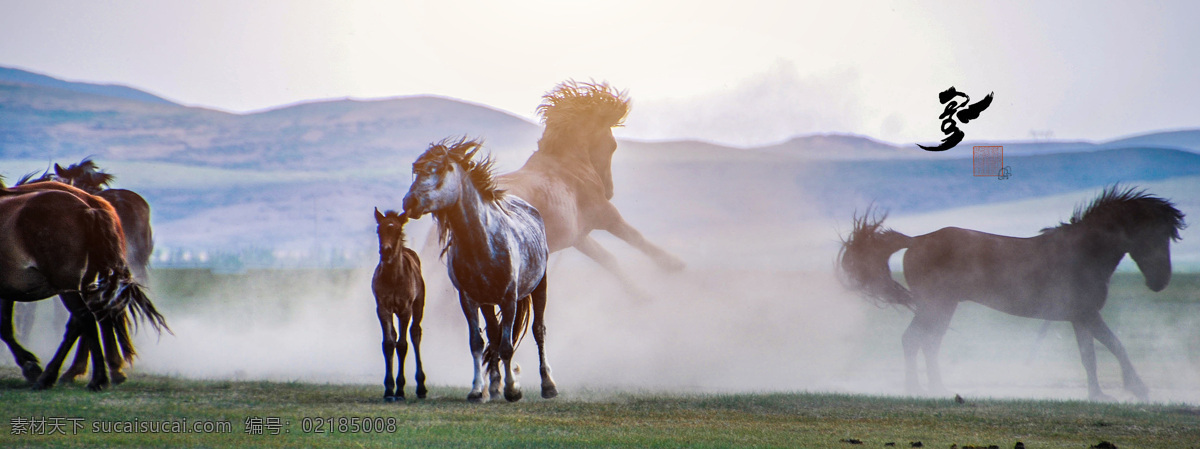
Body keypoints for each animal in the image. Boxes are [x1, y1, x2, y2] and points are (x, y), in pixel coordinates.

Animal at [0, 180, 170, 391]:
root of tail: (89, 209)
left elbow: (5, 327)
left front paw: (30, 366)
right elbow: (6, 325)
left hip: (67, 284)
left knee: (85, 318)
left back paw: (90, 378)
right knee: (88, 317)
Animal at [374, 208, 432, 400]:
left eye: (398, 231)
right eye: (379, 230)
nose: (386, 251)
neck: (392, 277)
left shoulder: (404, 309)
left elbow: (402, 345)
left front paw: (399, 390)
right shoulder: (383, 308)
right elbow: (388, 343)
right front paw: (388, 389)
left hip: (418, 305)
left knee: (415, 333)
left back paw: (421, 387)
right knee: (394, 334)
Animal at [400, 138, 554, 400]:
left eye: (439, 169)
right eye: (416, 170)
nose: (409, 202)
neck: (482, 242)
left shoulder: (509, 299)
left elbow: (507, 346)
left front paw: (513, 390)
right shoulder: (469, 299)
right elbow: (477, 343)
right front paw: (477, 389)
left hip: (538, 287)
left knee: (538, 331)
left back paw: (548, 385)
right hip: (488, 303)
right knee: (493, 333)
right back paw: (493, 385)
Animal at [840, 184, 1185, 400]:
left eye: (1168, 236)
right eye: (1153, 235)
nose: (1161, 282)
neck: (1084, 252)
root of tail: (916, 240)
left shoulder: (1079, 318)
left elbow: (1090, 357)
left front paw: (1098, 394)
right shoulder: (1088, 314)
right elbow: (1116, 346)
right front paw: (1138, 388)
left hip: (942, 308)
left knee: (927, 343)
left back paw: (937, 387)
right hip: (936, 306)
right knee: (914, 340)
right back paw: (918, 389)